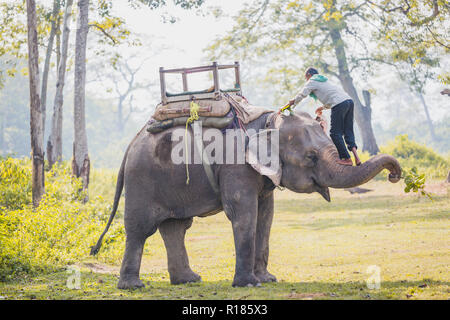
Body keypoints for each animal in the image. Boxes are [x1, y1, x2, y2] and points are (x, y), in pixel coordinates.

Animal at [90, 110, 400, 290]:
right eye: (311, 157)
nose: (395, 174)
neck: (266, 124)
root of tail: (130, 144)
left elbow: (266, 214)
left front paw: (267, 280)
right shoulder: (236, 165)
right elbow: (244, 211)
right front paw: (249, 285)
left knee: (176, 227)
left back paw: (189, 280)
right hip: (142, 180)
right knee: (141, 228)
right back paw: (133, 287)